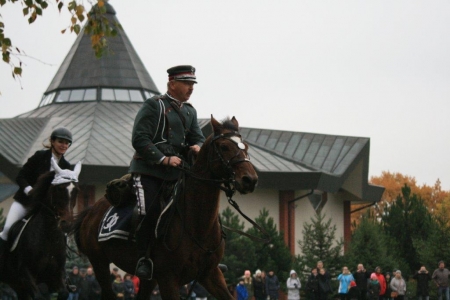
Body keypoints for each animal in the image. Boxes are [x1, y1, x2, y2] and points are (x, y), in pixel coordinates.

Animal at [0, 158, 81, 298]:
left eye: (76, 191)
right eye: (59, 189)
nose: (67, 224)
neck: (49, 237)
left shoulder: (55, 276)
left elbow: (64, 292)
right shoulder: (26, 275)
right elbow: (38, 296)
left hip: (17, 286)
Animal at [72, 116, 258, 298]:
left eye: (246, 147)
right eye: (224, 146)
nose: (250, 180)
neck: (197, 224)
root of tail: (91, 211)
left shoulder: (210, 274)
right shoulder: (168, 279)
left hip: (147, 280)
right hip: (100, 265)